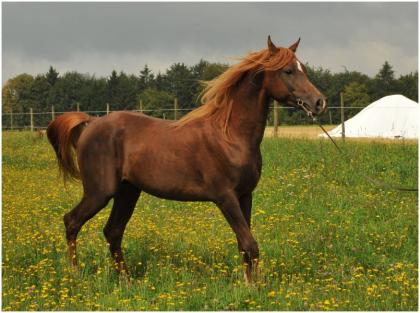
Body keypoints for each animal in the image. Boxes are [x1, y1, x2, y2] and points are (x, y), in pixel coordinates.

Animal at [46, 36, 328, 282]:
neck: (230, 136)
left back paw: (126, 281)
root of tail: (91, 123)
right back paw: (75, 274)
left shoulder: (245, 195)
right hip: (100, 192)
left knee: (113, 232)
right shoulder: (225, 197)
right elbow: (250, 244)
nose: (319, 102)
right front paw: (255, 287)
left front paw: (251, 284)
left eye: (302, 68)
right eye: (288, 71)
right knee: (72, 222)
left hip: (128, 192)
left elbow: (244, 244)